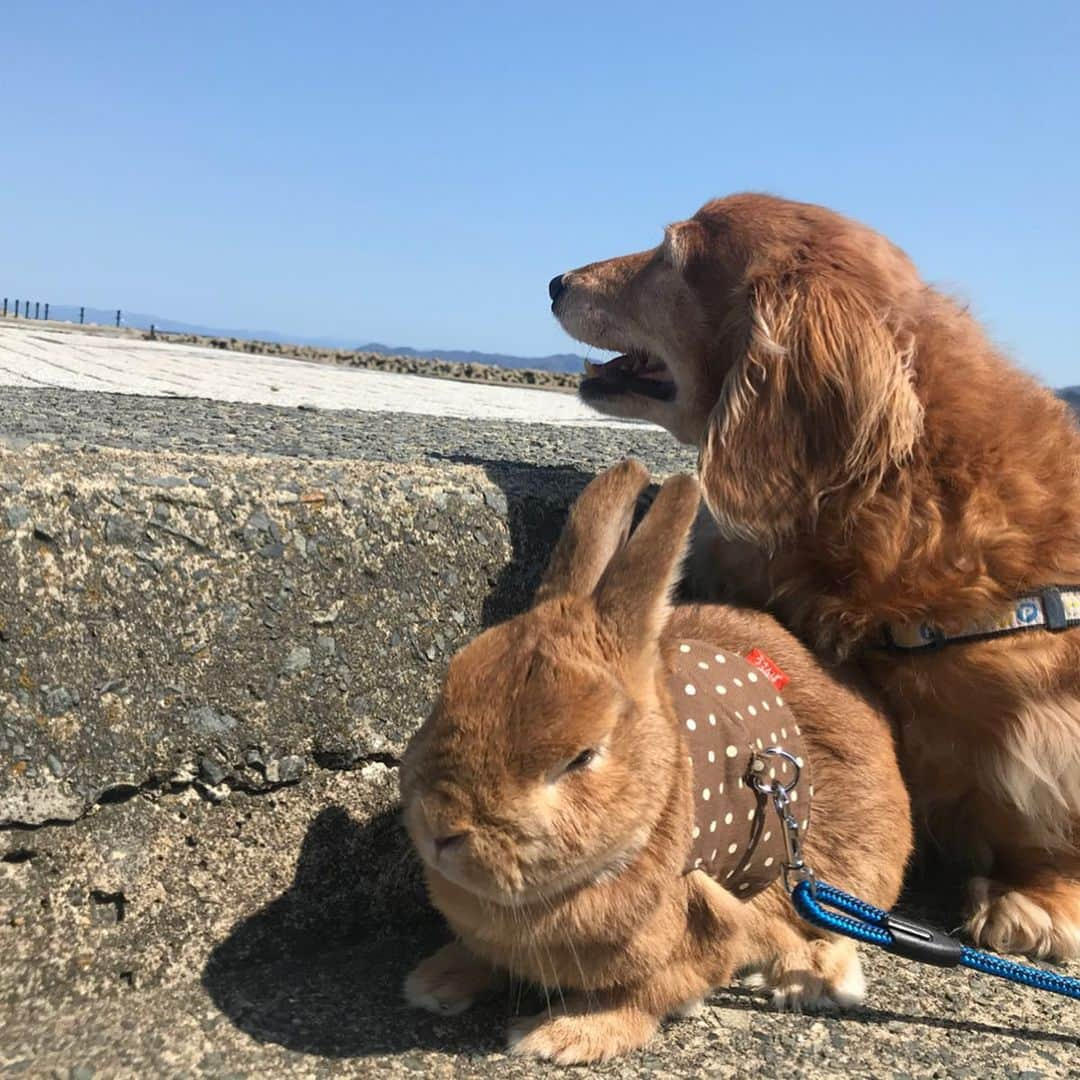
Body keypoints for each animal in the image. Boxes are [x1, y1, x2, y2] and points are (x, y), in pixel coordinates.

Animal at [399, 457, 911, 1062]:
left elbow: (642, 998)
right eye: (446, 692)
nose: (441, 826)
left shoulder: (701, 924)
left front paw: (559, 1037)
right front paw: (434, 983)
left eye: (581, 757)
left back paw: (813, 978)